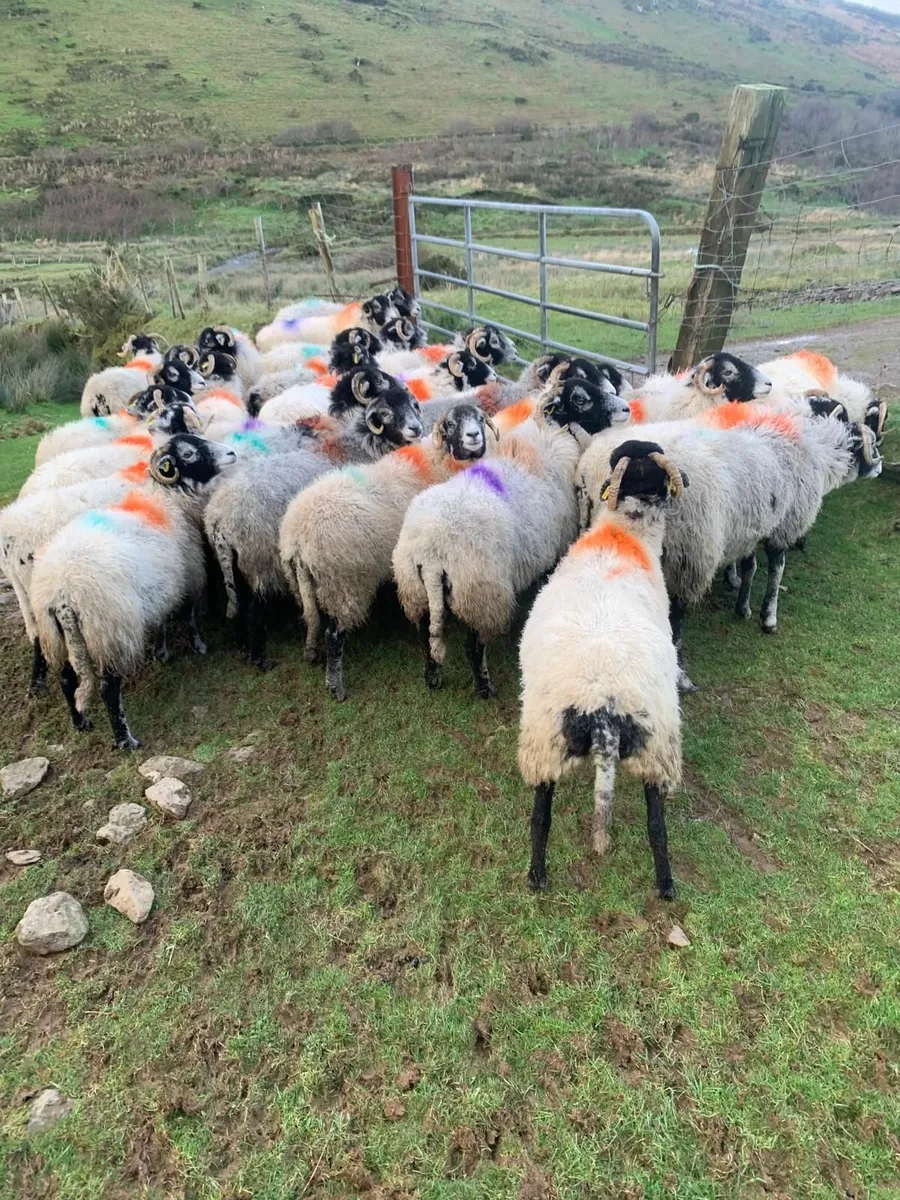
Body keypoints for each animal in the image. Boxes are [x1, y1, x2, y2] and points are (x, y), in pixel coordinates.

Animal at [30, 434, 237, 749]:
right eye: (189, 454)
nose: (232, 453)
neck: (167, 498)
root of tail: (62, 594)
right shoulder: (187, 575)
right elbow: (188, 616)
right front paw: (199, 646)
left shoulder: (162, 586)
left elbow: (161, 621)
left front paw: (162, 652)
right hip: (111, 631)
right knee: (108, 689)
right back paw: (126, 740)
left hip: (55, 636)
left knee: (66, 680)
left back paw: (81, 723)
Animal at [279, 403, 490, 701]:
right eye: (450, 424)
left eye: (481, 419)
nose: (474, 437)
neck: (440, 460)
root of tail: (296, 534)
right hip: (345, 583)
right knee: (334, 634)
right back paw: (336, 686)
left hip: (306, 581)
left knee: (310, 617)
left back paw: (312, 652)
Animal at [518, 440, 688, 898]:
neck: (623, 534)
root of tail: (603, 704)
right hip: (652, 747)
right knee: (657, 825)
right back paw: (665, 885)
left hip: (550, 741)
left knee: (541, 817)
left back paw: (537, 877)